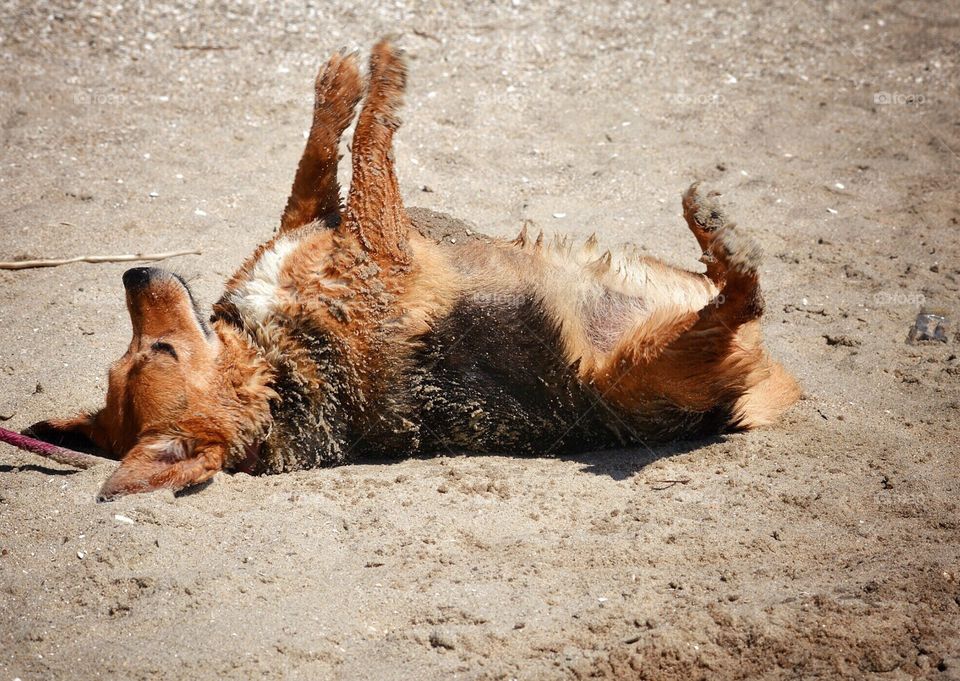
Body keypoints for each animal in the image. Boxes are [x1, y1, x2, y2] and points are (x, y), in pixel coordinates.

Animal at [26, 42, 800, 500]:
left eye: (141, 350)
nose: (131, 274)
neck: (276, 365)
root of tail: (759, 387)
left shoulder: (317, 225)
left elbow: (317, 161)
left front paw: (339, 81)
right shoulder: (380, 242)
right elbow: (373, 142)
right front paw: (385, 68)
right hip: (644, 364)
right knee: (741, 298)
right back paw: (721, 237)